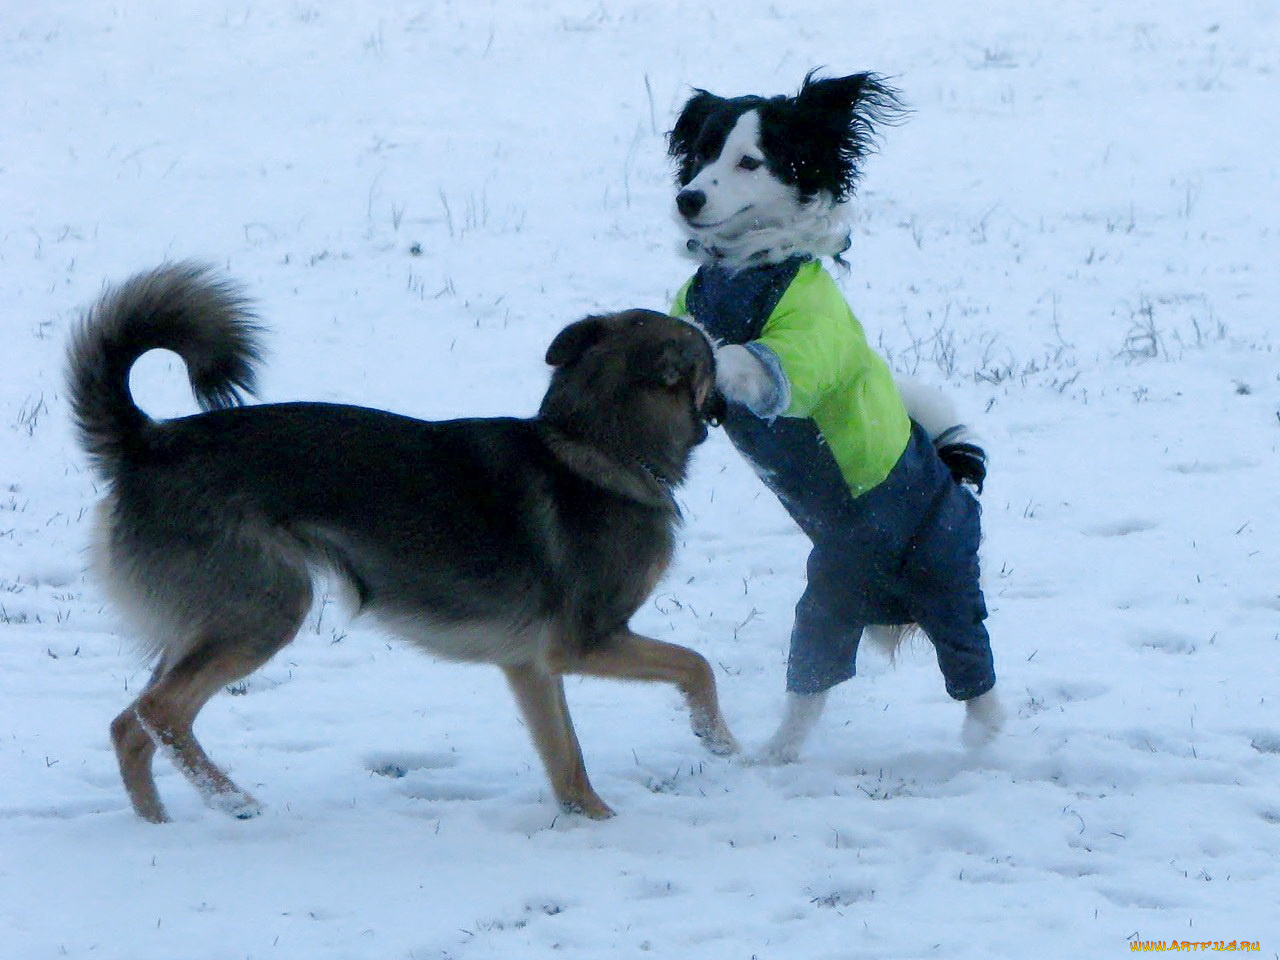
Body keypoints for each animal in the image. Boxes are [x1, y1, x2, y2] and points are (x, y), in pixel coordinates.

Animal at [64, 264, 737, 829]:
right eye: (710, 362)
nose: (729, 401)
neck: (594, 443)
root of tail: (148, 441)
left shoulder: (532, 666)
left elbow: (566, 758)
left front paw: (593, 821)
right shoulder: (586, 642)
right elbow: (695, 664)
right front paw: (719, 740)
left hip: (203, 625)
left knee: (129, 725)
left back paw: (158, 827)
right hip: (265, 610)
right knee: (160, 714)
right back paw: (232, 801)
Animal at [665, 71, 1003, 762]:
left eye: (749, 161)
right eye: (704, 152)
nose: (688, 198)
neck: (748, 270)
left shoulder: (800, 355)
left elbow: (742, 355)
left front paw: (708, 349)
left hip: (948, 580)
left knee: (975, 673)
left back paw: (983, 740)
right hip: (827, 601)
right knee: (813, 683)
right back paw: (777, 754)